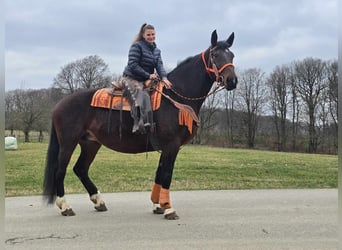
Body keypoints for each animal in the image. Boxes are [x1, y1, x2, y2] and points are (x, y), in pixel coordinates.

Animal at [43, 30, 238, 220]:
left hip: (90, 143)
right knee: (60, 170)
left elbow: (159, 174)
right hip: (68, 143)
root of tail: (60, 104)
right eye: (215, 55)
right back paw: (65, 206)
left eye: (232, 55)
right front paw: (168, 208)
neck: (176, 97)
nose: (232, 81)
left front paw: (158, 205)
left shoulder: (166, 147)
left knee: (81, 169)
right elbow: (167, 174)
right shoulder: (171, 145)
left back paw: (98, 201)